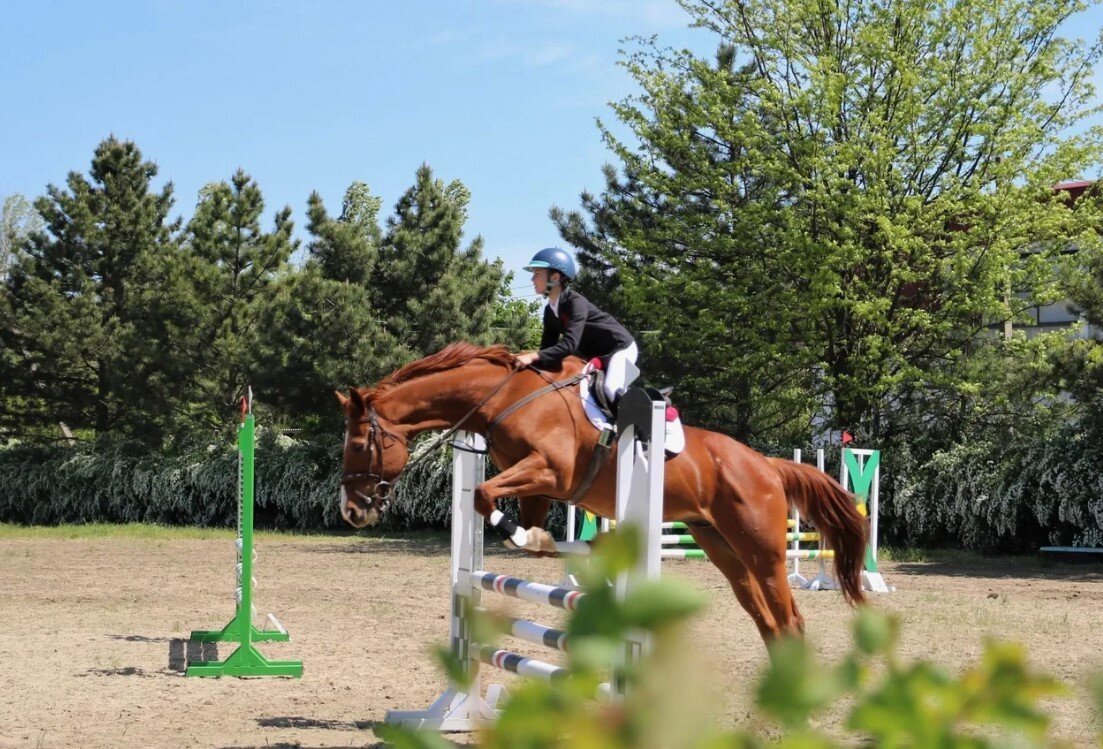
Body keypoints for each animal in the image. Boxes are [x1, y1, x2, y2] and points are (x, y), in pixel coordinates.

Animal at [337, 341, 869, 639]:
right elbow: (510, 512)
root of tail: (765, 466)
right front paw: (540, 540)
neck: (505, 397)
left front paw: (531, 538)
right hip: (721, 547)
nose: (352, 511)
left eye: (360, 444)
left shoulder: (549, 471)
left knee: (788, 618)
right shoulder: (537, 484)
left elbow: (484, 495)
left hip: (762, 550)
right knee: (767, 620)